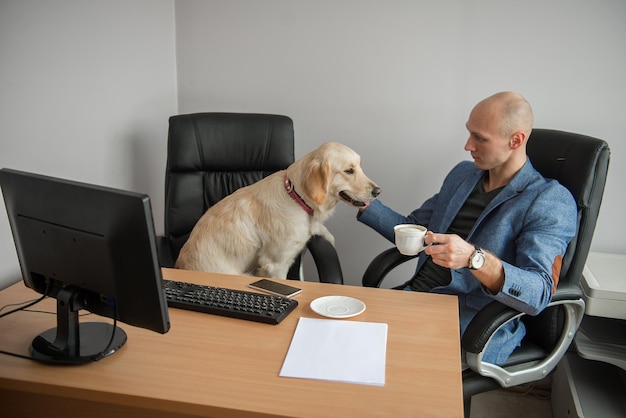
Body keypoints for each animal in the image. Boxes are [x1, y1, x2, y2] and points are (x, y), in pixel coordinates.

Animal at [176, 142, 380, 280]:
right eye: (349, 170)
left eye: (359, 167)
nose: (378, 191)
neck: (295, 197)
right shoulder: (276, 264)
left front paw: (327, 236)